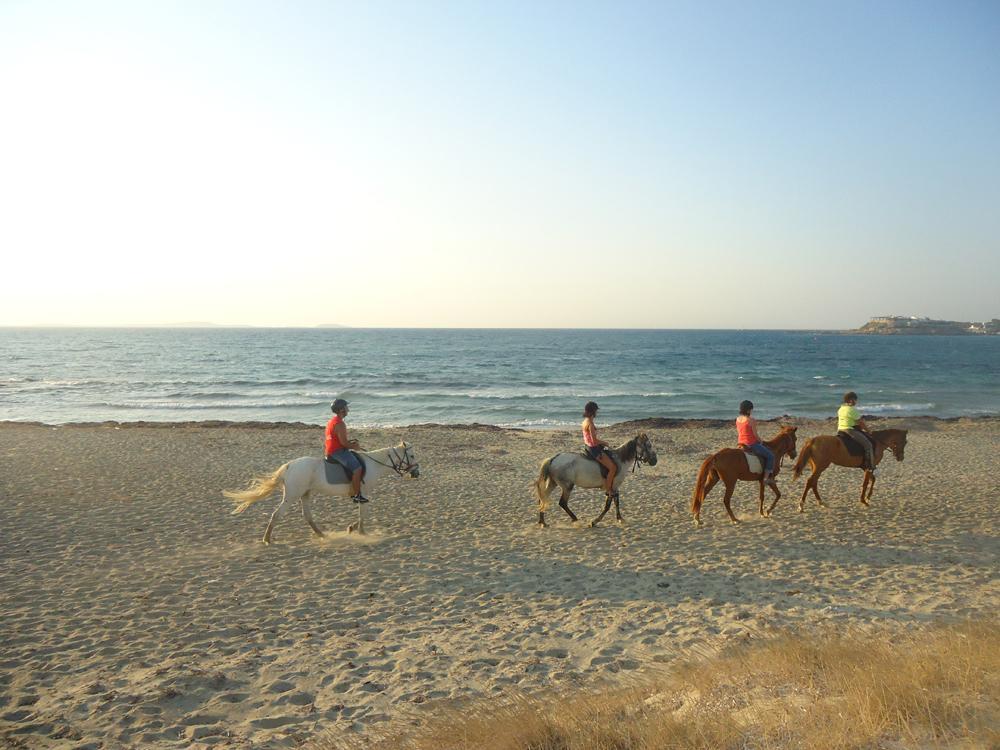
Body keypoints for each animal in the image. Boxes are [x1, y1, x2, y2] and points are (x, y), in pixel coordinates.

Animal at [224, 444, 418, 544]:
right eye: (412, 456)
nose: (417, 473)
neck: (373, 464)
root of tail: (289, 466)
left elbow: (361, 513)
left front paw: (352, 528)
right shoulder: (364, 493)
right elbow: (364, 513)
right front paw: (360, 531)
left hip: (305, 494)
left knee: (307, 516)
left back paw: (321, 534)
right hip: (292, 496)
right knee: (277, 514)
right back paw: (267, 539)